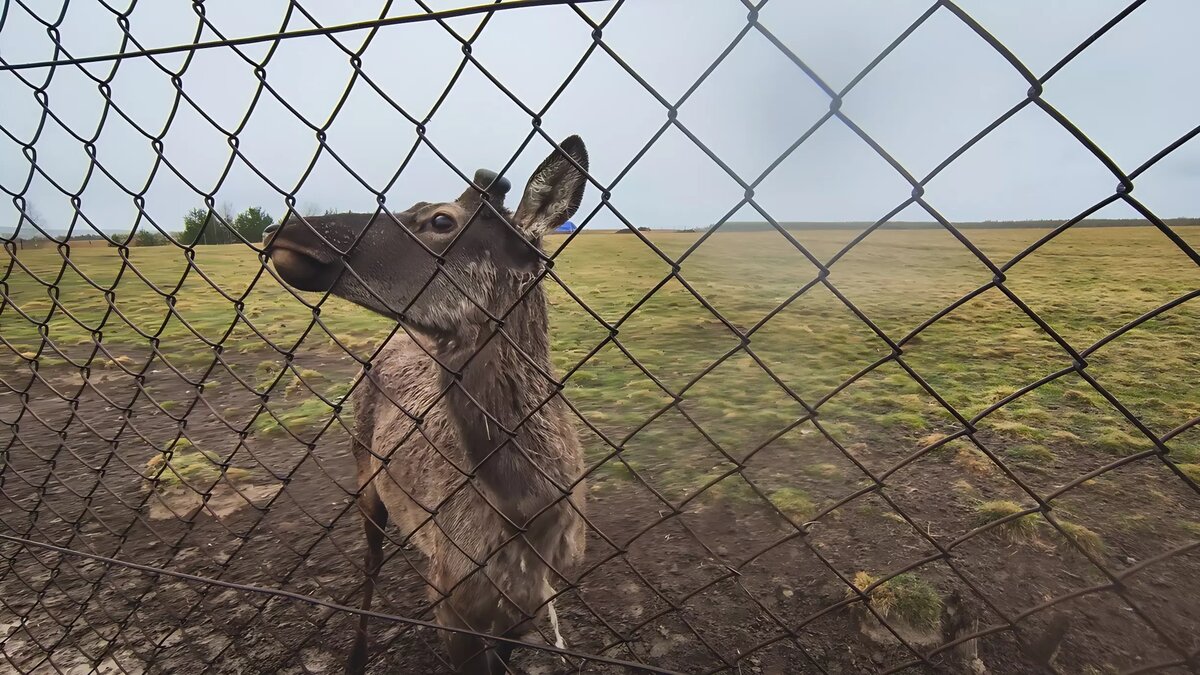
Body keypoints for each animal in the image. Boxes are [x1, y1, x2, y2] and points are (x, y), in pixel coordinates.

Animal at [262, 133, 590, 667]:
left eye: (440, 220)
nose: (283, 229)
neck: (528, 519)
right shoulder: (449, 598)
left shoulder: (527, 609)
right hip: (364, 474)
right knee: (371, 560)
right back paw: (356, 656)